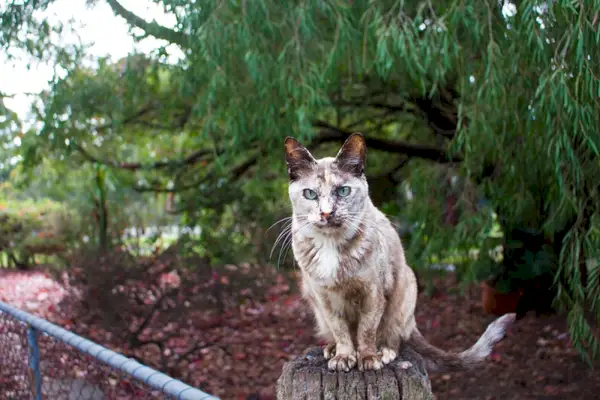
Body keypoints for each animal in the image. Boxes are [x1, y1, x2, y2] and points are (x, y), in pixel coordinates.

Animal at [284, 133, 512, 374]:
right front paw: (344, 356)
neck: (331, 246)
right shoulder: (324, 297)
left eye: (343, 190)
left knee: (394, 336)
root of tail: (412, 322)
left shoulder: (373, 292)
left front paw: (368, 358)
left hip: (406, 288)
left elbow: (367, 330)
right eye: (310, 194)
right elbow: (340, 330)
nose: (327, 213)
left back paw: (384, 352)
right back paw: (332, 349)